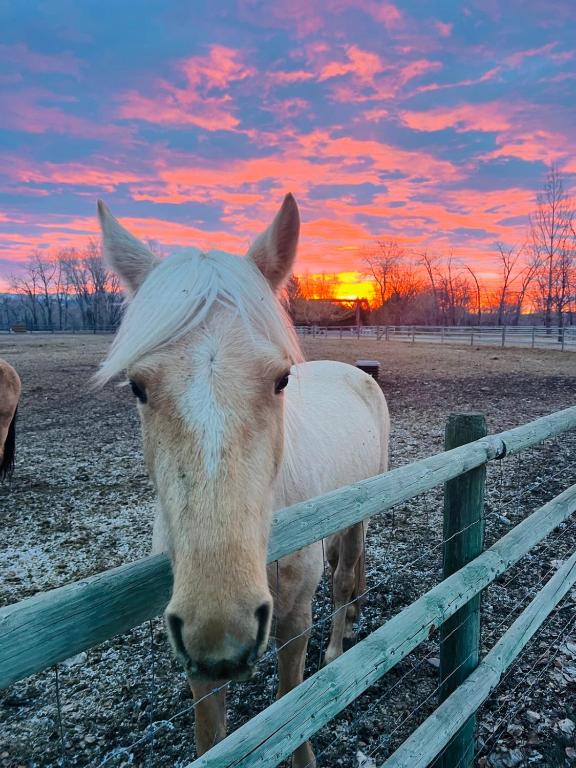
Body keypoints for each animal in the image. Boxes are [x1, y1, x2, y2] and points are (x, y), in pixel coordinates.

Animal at [96, 195, 390, 767]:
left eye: (280, 379)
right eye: (138, 387)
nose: (221, 627)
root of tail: (358, 371)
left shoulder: (294, 613)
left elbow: (292, 704)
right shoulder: (195, 654)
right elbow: (212, 734)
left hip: (359, 514)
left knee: (345, 577)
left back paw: (338, 644)